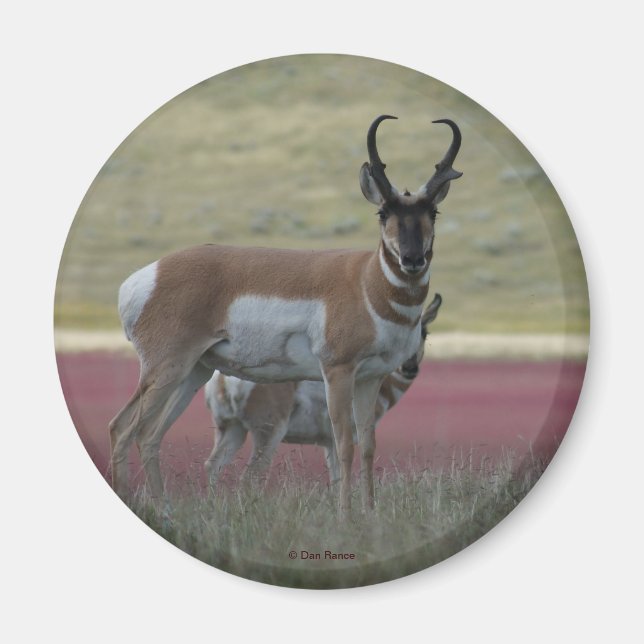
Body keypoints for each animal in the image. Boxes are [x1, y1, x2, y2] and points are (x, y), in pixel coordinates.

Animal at [204, 294, 442, 484]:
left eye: (425, 333)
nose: (409, 367)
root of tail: (223, 381)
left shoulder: (328, 443)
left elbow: (335, 480)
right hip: (268, 432)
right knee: (251, 475)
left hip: (232, 429)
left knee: (212, 466)